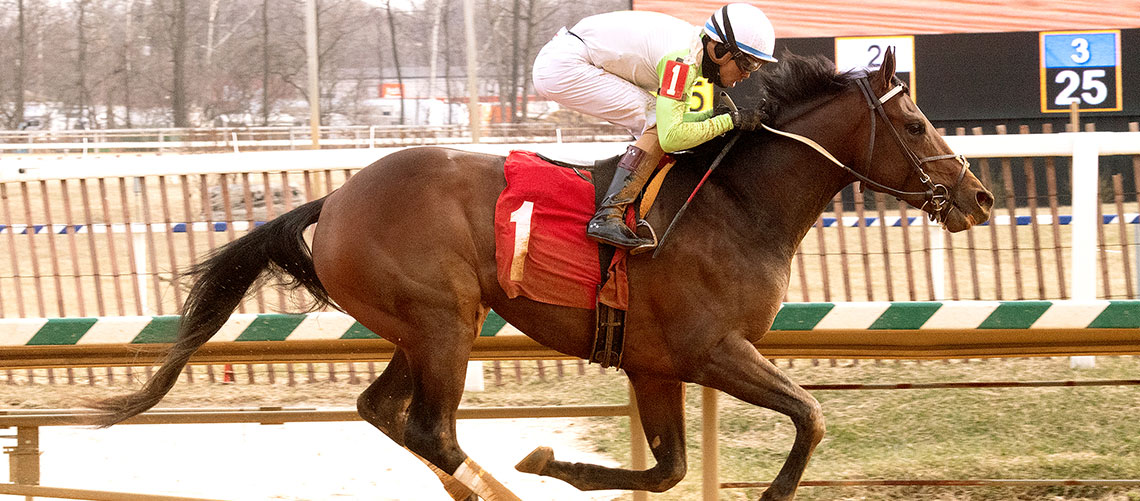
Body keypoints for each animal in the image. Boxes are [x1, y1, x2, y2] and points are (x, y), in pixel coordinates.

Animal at [93, 47, 989, 501]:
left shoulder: (654, 363)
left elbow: (668, 467)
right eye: (915, 123)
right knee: (429, 427)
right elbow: (810, 416)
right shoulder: (711, 350)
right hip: (443, 320)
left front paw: (559, 463)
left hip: (424, 325)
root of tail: (336, 196)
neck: (736, 201)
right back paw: (499, 488)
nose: (978, 196)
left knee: (385, 410)